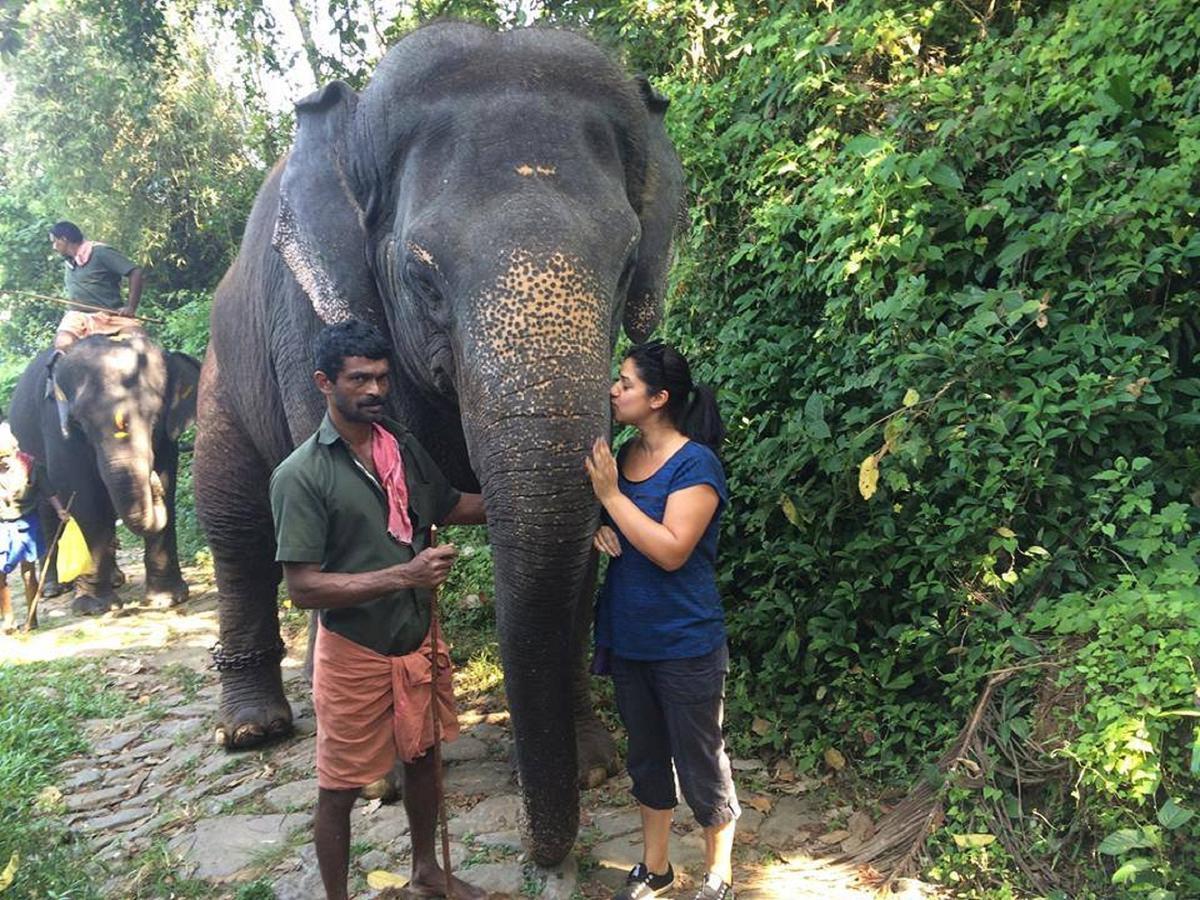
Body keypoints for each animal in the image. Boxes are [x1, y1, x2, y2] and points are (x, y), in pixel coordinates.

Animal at [9, 336, 200, 619]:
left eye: (155, 417)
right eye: (79, 423)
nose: (151, 482)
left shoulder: (167, 438)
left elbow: (169, 480)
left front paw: (167, 599)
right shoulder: (56, 427)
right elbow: (82, 494)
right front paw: (94, 607)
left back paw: (115, 579)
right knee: (47, 508)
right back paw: (53, 589)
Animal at [196, 22, 686, 868]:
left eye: (627, 267)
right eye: (421, 277)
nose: (543, 855)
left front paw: (592, 767)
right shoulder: (306, 329)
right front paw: (380, 781)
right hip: (222, 378)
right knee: (234, 525)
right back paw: (256, 729)